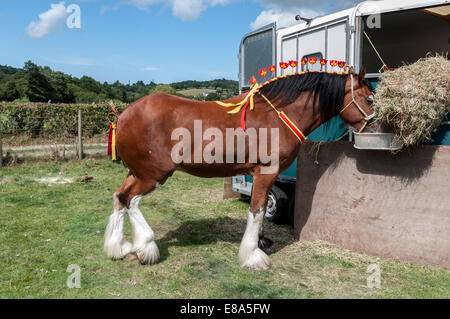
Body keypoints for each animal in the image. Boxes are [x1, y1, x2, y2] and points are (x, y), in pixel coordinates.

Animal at [103, 67, 374, 270]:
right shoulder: (267, 171)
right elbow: (257, 210)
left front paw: (263, 242)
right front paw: (253, 256)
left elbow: (261, 208)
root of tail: (124, 114)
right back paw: (146, 247)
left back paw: (119, 248)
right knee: (132, 201)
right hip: (153, 175)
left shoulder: (259, 174)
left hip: (137, 172)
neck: (278, 115)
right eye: (370, 98)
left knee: (119, 198)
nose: (375, 128)